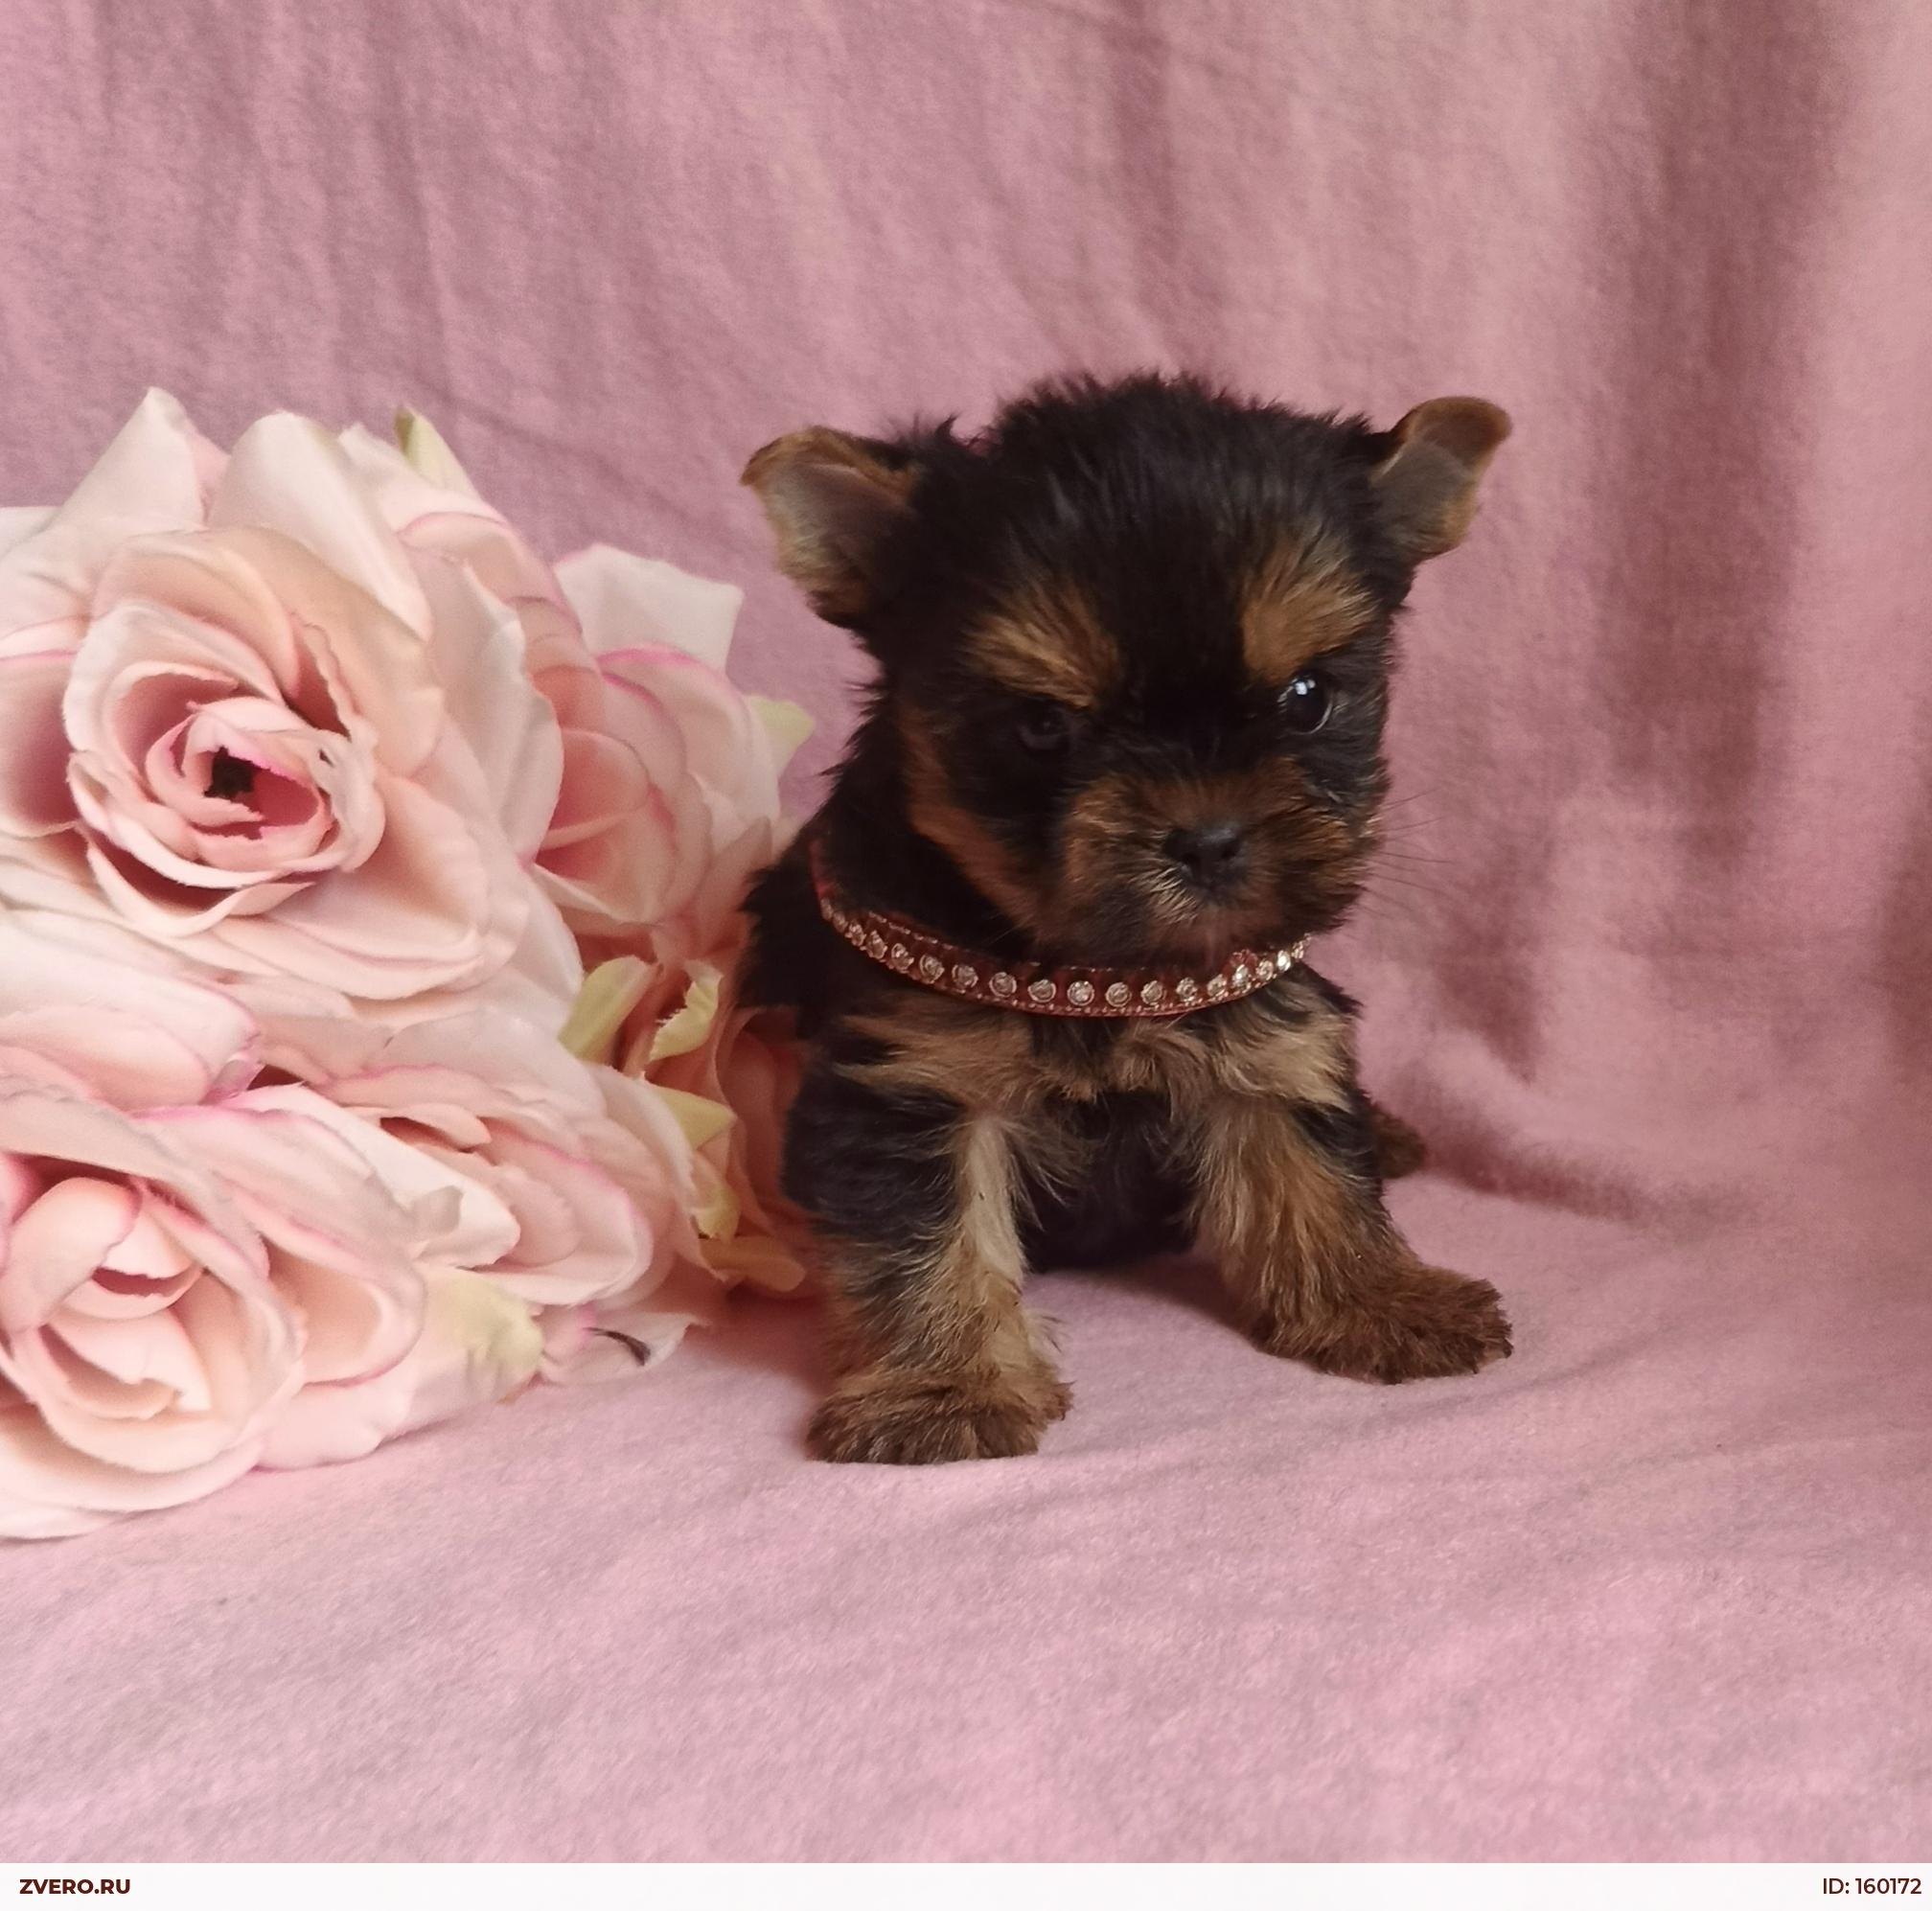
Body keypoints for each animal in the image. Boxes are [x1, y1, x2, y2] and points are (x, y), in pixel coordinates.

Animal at [737, 372, 1511, 1464]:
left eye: (1308, 697)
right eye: (1041, 727)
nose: (1210, 839)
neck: (1102, 969)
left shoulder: (1262, 1016)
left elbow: (1308, 1159)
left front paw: (1380, 1299)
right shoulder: (907, 1077)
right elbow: (922, 1235)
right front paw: (940, 1390)